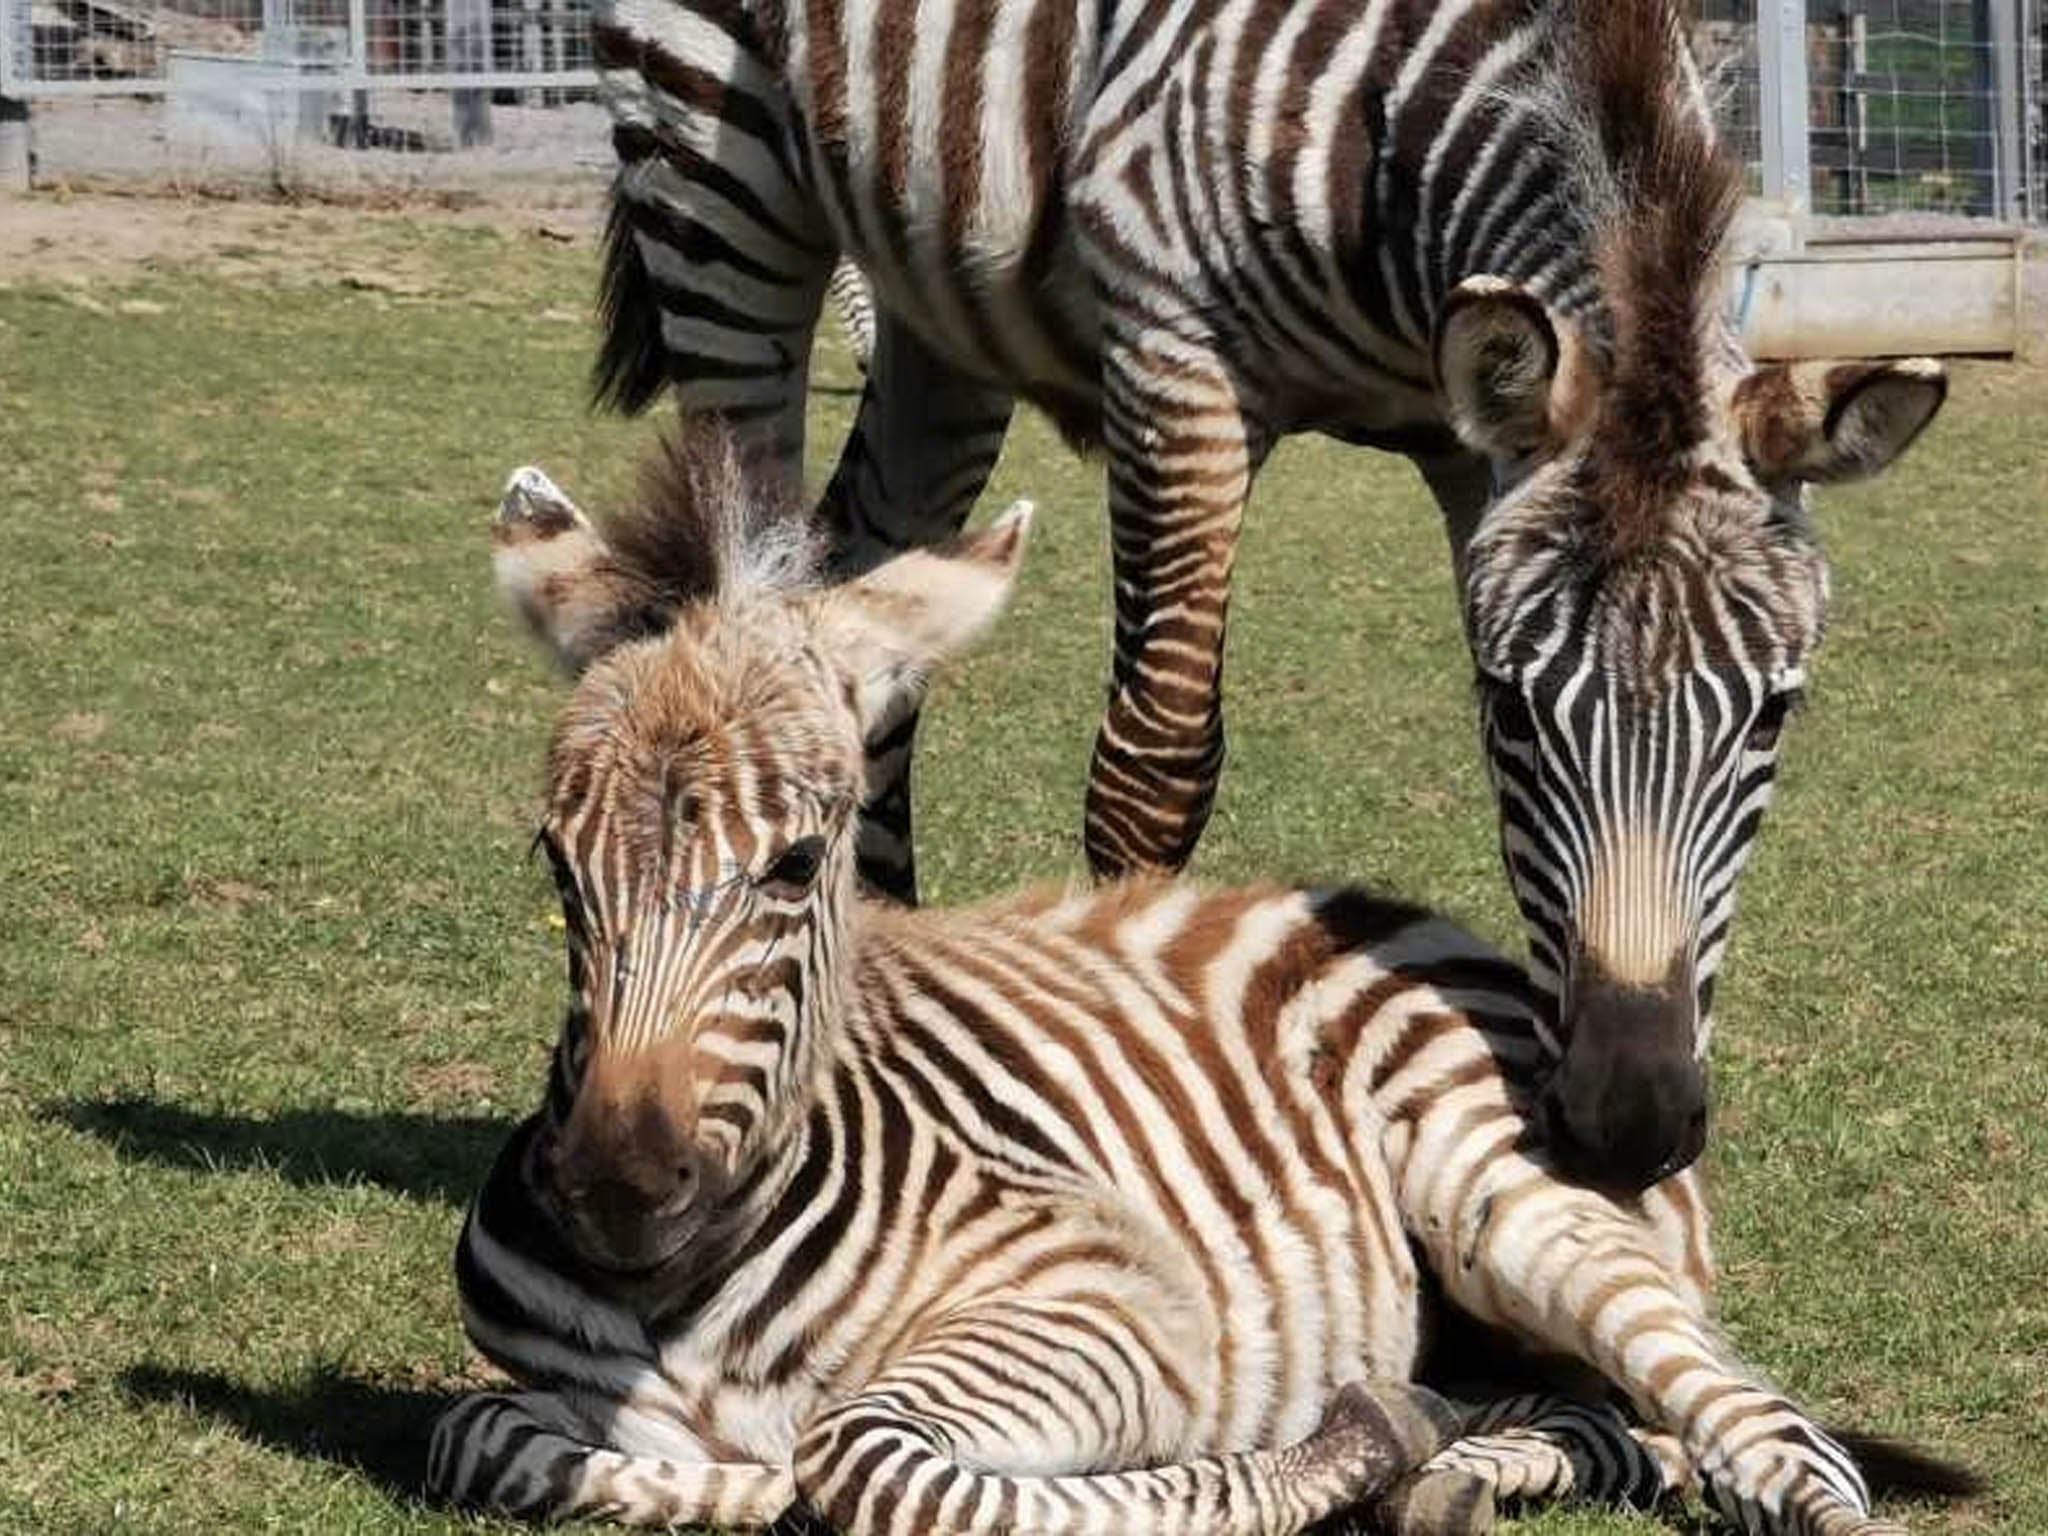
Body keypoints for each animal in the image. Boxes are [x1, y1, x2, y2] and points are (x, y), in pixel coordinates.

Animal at [432, 434, 1966, 1536]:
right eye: (556, 862)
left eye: (800, 864)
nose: (614, 1193)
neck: (690, 1294)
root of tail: (1406, 920)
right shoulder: (536, 1404)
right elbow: (483, 1437)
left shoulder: (1117, 1309)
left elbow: (865, 1460)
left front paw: (1335, 1449)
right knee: (1623, 1430)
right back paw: (1452, 1468)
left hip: (1510, 1206)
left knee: (1767, 1438)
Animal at [585, 0, 1941, 1187]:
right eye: (1511, 706)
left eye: (1774, 714)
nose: (1626, 1124)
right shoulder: (1173, 364)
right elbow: (1155, 767)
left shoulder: (1469, 445)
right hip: (711, 178)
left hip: (936, 299)